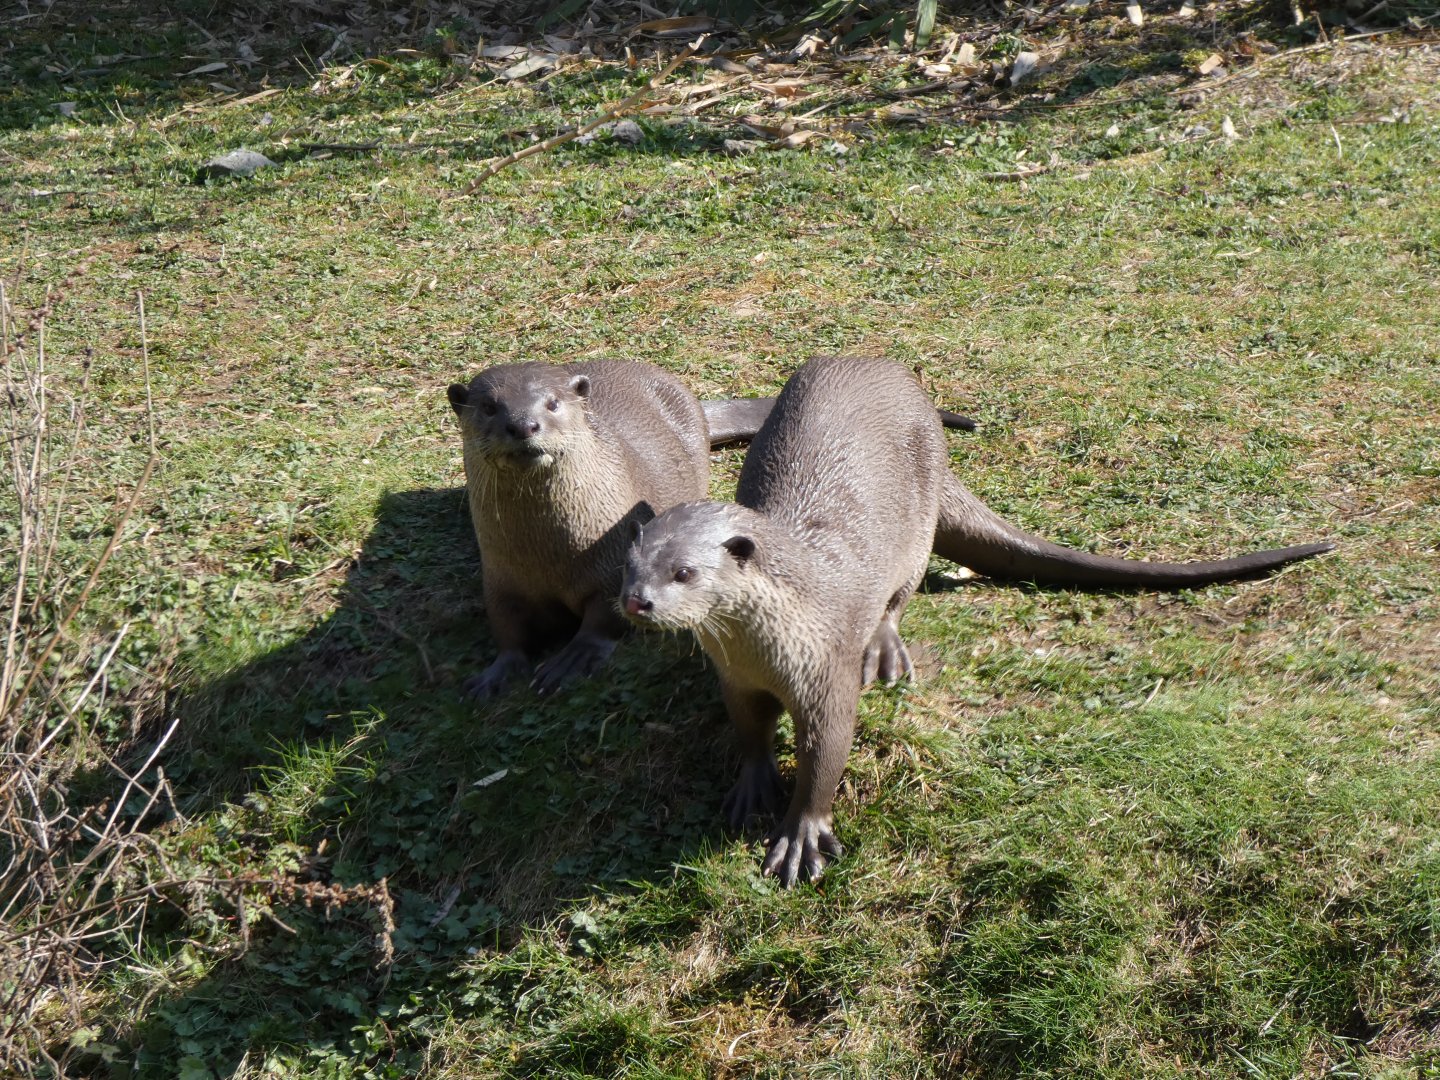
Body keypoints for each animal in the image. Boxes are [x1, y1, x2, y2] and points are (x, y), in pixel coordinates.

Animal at [448, 360, 975, 698]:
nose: (524, 425)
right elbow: (506, 626)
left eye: (553, 403)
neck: (549, 551)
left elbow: (602, 618)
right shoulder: (500, 576)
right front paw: (497, 673)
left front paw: (573, 657)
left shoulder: (608, 565)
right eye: (490, 407)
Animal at [620, 356, 1332, 886]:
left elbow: (828, 752)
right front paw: (752, 785)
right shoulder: (735, 675)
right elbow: (749, 730)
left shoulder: (825, 667)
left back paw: (887, 652)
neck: (772, 636)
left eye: (684, 572)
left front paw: (803, 834)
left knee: (902, 591)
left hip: (917, 520)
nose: (638, 602)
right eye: (632, 565)